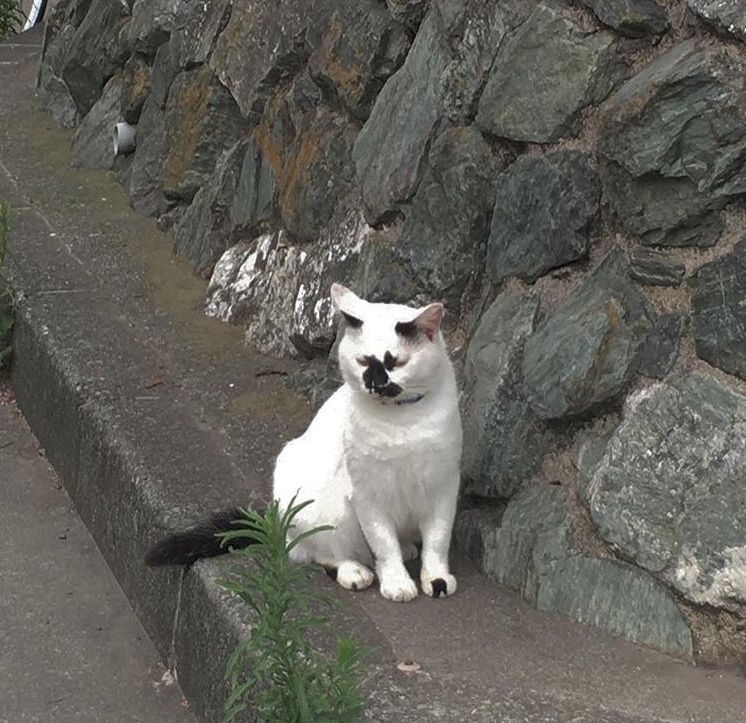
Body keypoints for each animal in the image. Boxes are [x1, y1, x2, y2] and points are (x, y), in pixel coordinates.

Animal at [145, 286, 460, 604]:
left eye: (396, 363)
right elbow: (384, 544)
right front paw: (396, 582)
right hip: (326, 508)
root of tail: (277, 521)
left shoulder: (444, 487)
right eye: (362, 361)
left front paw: (436, 579)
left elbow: (438, 541)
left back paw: (406, 548)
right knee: (321, 553)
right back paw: (354, 571)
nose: (373, 383)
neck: (403, 422)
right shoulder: (368, 495)